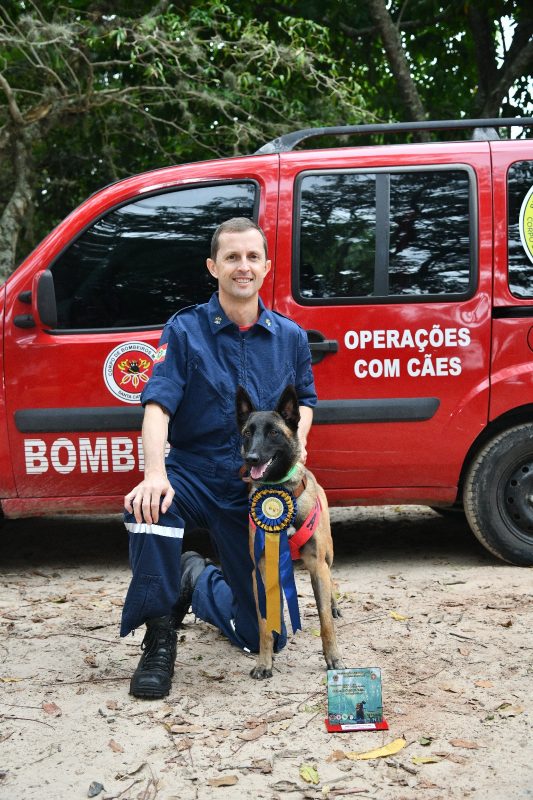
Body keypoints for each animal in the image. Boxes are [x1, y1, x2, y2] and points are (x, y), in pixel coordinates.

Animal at [235, 384, 342, 680]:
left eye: (274, 432)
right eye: (247, 433)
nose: (251, 459)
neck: (280, 491)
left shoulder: (317, 565)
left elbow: (325, 622)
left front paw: (333, 658)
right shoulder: (259, 572)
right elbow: (263, 625)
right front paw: (264, 662)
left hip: (328, 555)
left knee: (332, 580)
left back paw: (334, 604)